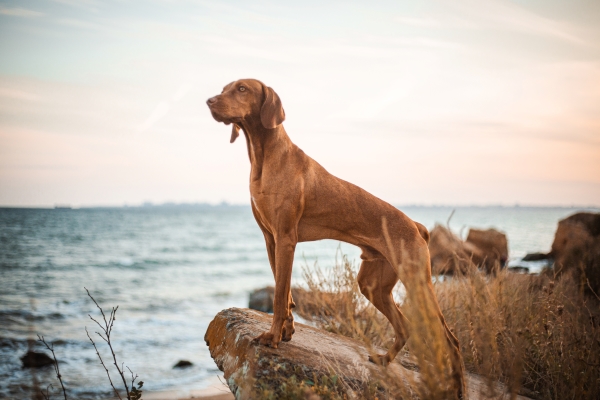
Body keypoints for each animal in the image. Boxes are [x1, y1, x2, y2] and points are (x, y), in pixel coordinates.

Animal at [209, 78, 466, 396]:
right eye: (225, 88)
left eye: (242, 89)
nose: (209, 101)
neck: (265, 157)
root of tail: (416, 225)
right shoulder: (272, 240)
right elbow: (285, 291)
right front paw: (287, 331)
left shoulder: (285, 239)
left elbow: (280, 296)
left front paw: (273, 337)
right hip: (372, 284)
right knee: (405, 326)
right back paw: (385, 360)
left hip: (418, 282)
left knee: (451, 338)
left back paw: (457, 386)